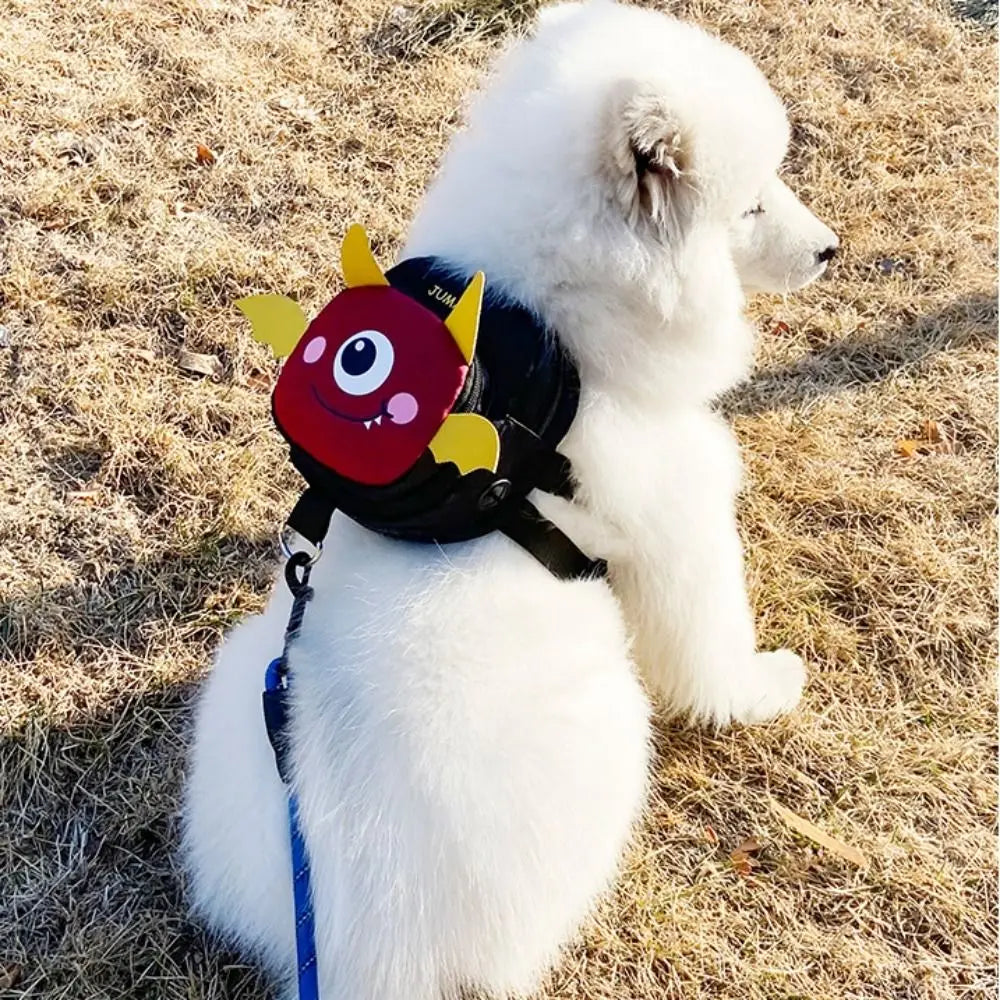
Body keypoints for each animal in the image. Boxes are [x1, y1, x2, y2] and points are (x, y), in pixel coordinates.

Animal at [180, 1, 836, 1000]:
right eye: (754, 202)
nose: (833, 249)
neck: (555, 332)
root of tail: (370, 947)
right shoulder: (687, 526)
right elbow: (711, 650)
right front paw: (765, 688)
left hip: (243, 688)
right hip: (610, 736)